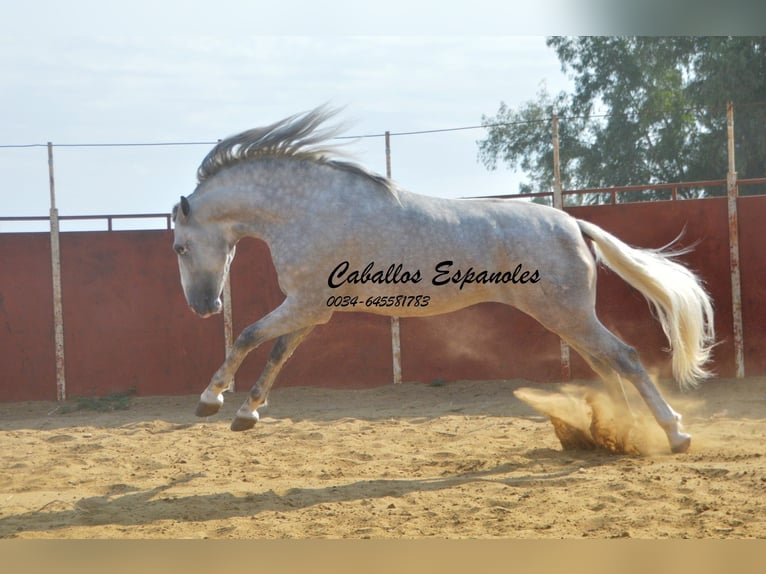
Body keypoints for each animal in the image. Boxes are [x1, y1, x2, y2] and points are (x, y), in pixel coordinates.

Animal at [171, 107, 716, 454]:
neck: (309, 209)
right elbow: (278, 353)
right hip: (567, 318)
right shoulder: (311, 308)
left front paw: (210, 400)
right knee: (608, 365)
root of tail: (574, 224)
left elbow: (248, 336)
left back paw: (674, 434)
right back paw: (614, 437)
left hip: (569, 314)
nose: (203, 306)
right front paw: (247, 413)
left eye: (178, 247)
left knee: (624, 358)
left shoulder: (303, 304)